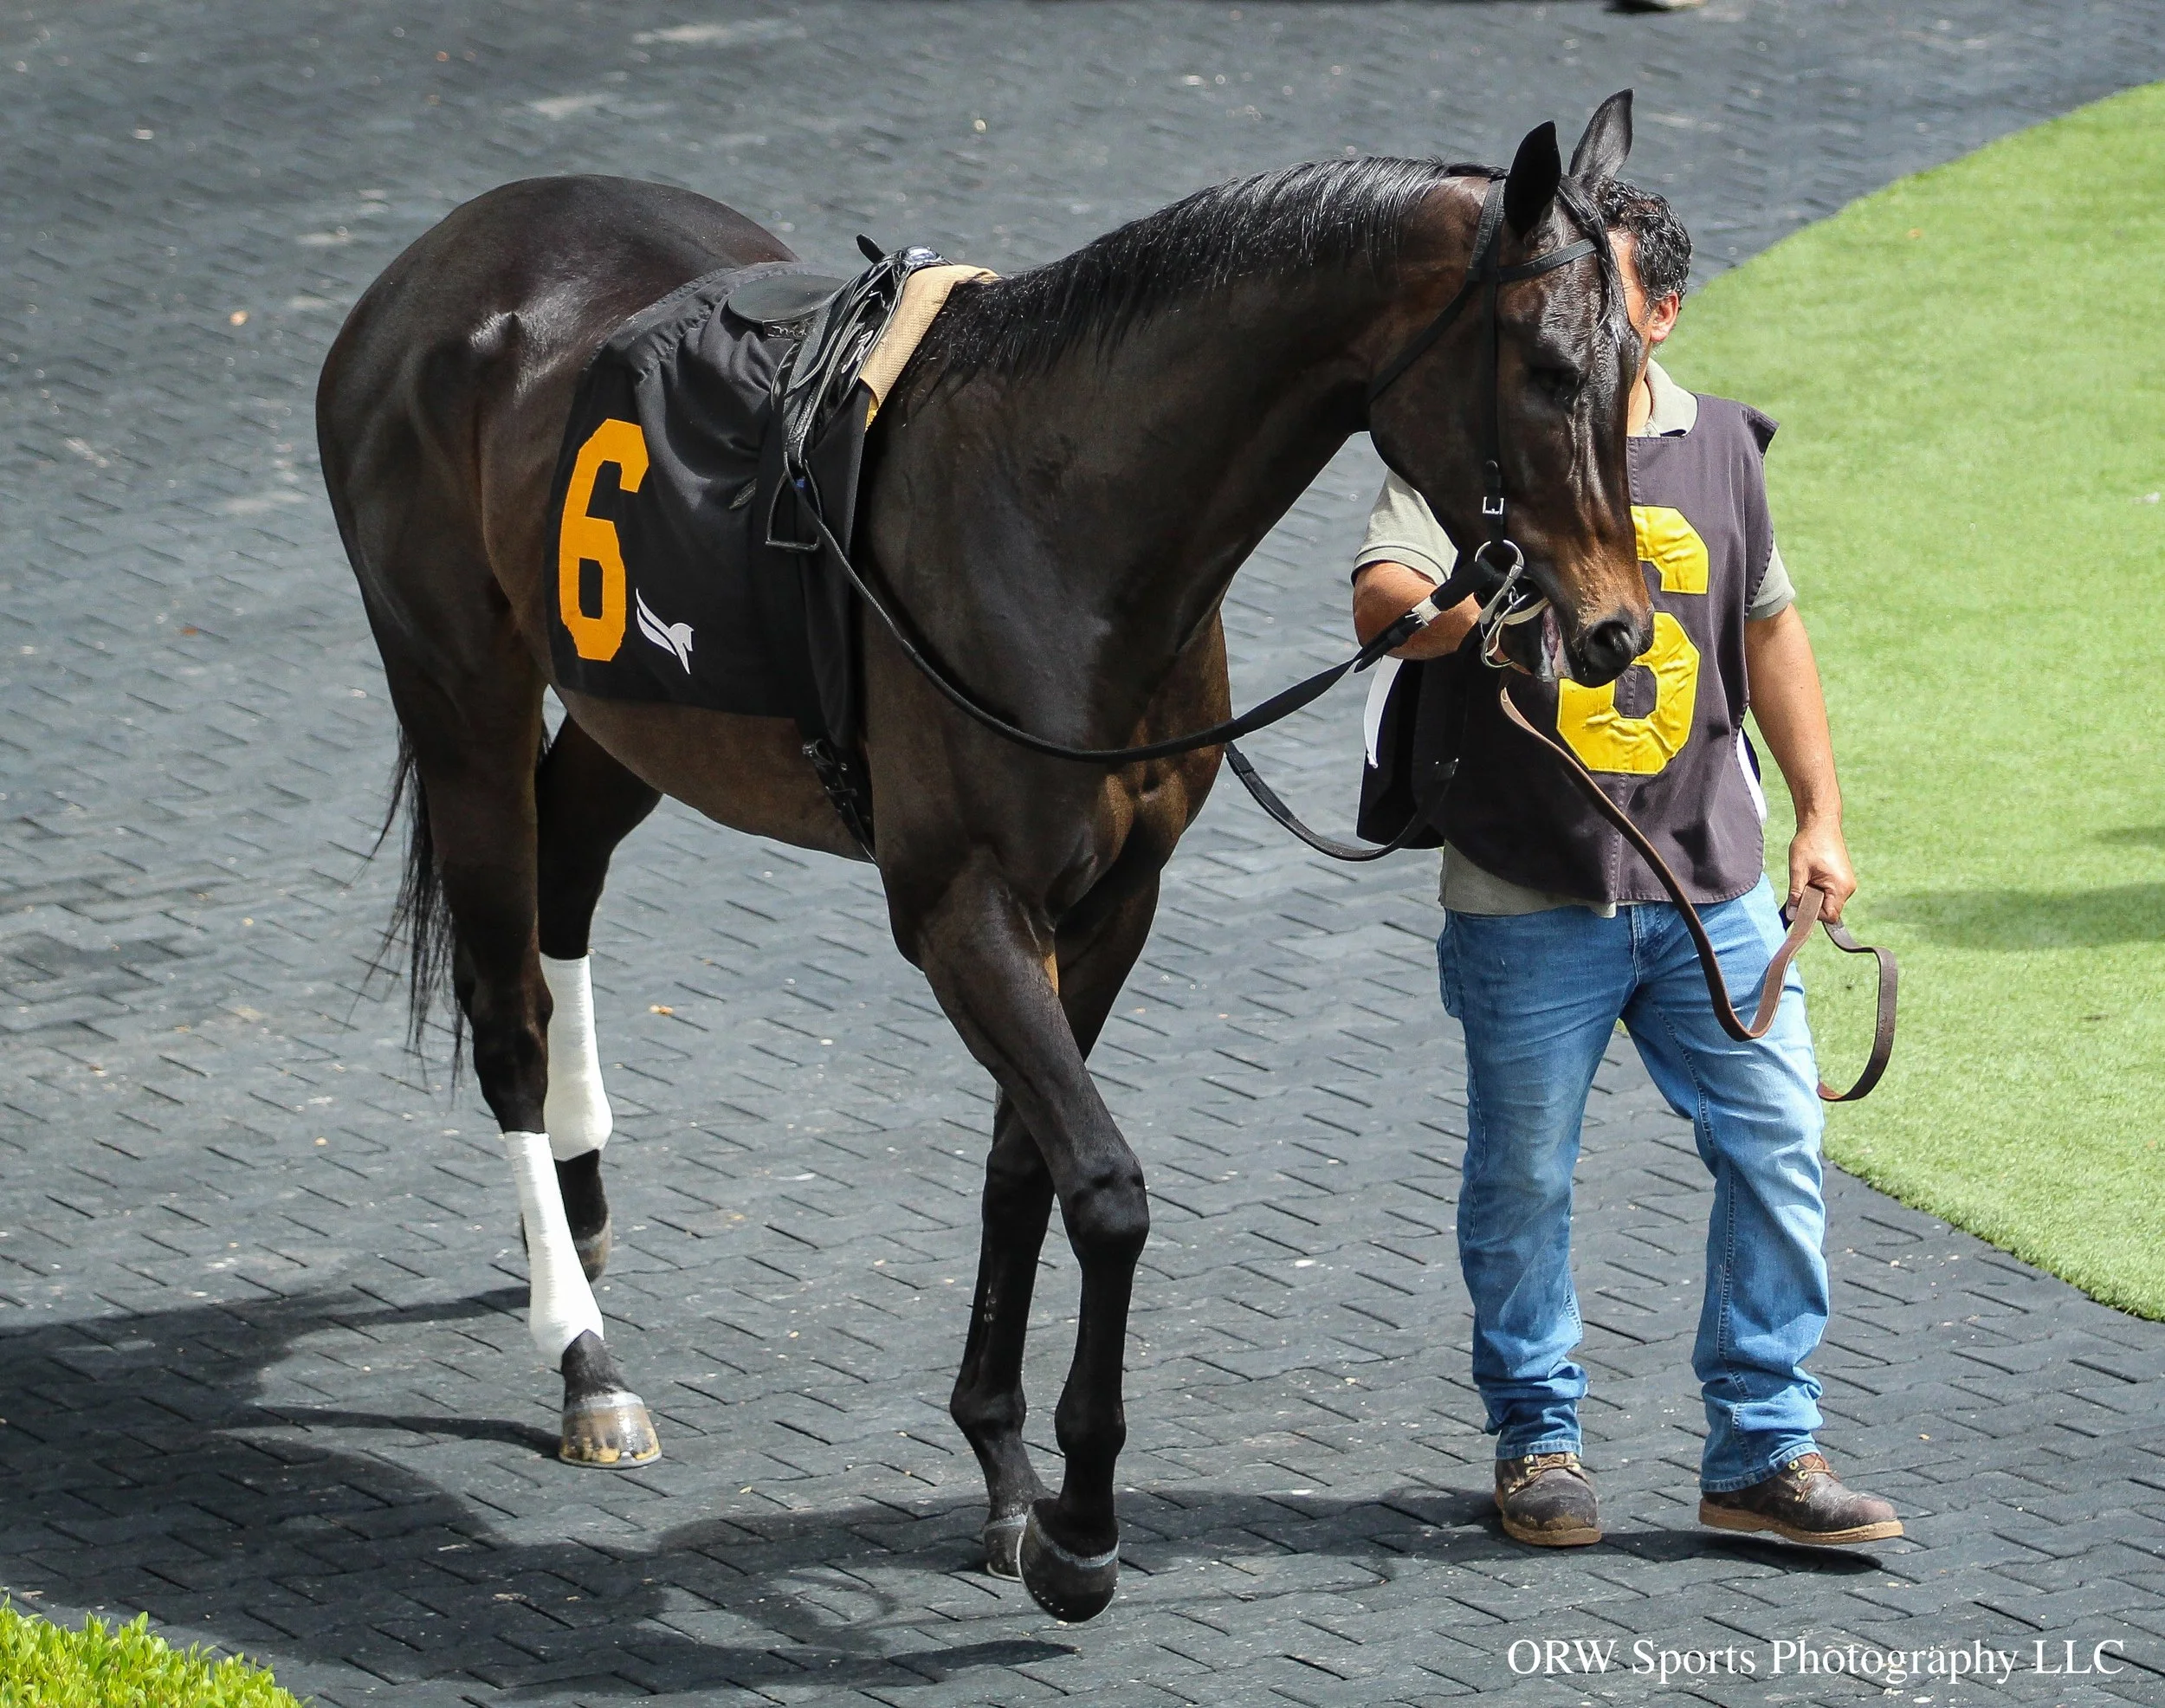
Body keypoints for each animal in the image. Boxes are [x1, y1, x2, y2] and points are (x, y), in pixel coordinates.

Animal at [316, 93, 1653, 1622]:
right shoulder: (960, 908)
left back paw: (587, 1210)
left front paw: (1008, 1472)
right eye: (1546, 370)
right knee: (507, 1016)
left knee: (568, 875)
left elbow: (1029, 1163)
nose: (1616, 629)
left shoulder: (1116, 899)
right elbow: (1107, 1189)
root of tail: (432, 266)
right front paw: (1078, 1527)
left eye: (1631, 369)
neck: (1060, 515)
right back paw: (583, 1356)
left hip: (634, 706)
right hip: (456, 683)